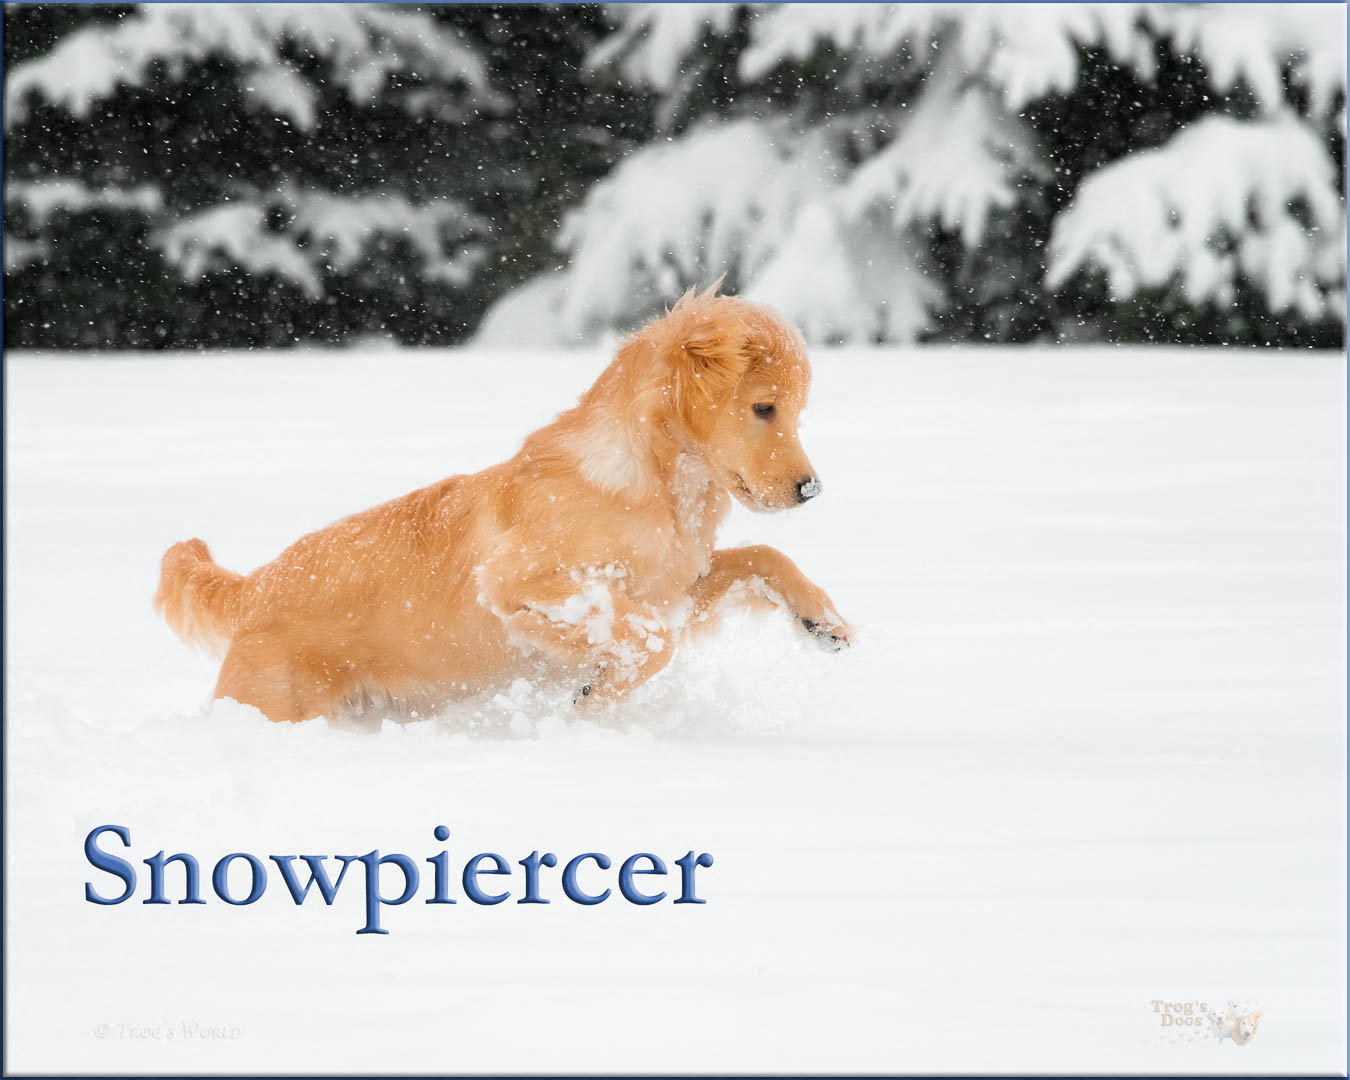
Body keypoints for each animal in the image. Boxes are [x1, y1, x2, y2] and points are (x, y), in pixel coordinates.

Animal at [157, 288, 847, 723]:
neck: (649, 484)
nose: (810, 490)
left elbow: (764, 554)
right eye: (764, 407)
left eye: (797, 412)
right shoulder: (523, 585)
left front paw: (824, 621)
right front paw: (591, 698)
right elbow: (649, 642)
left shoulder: (671, 586)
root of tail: (254, 587)